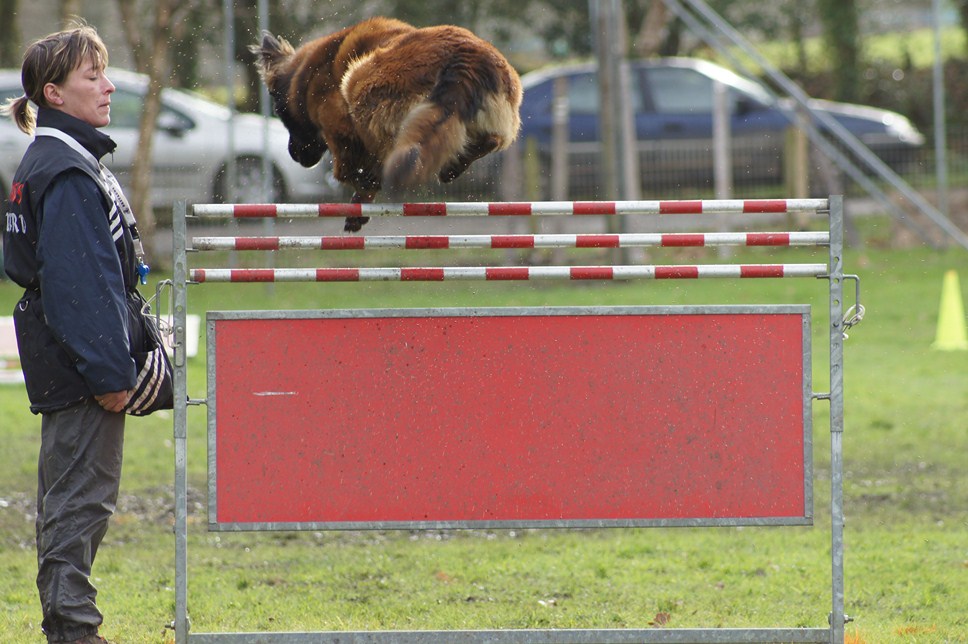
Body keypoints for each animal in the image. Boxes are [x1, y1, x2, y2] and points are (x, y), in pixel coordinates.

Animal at [250, 17, 520, 231]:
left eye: (277, 109)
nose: (294, 155)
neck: (306, 79)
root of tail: (464, 57)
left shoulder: (336, 125)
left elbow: (349, 170)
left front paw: (364, 191)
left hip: (359, 81)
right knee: (491, 140)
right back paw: (456, 164)